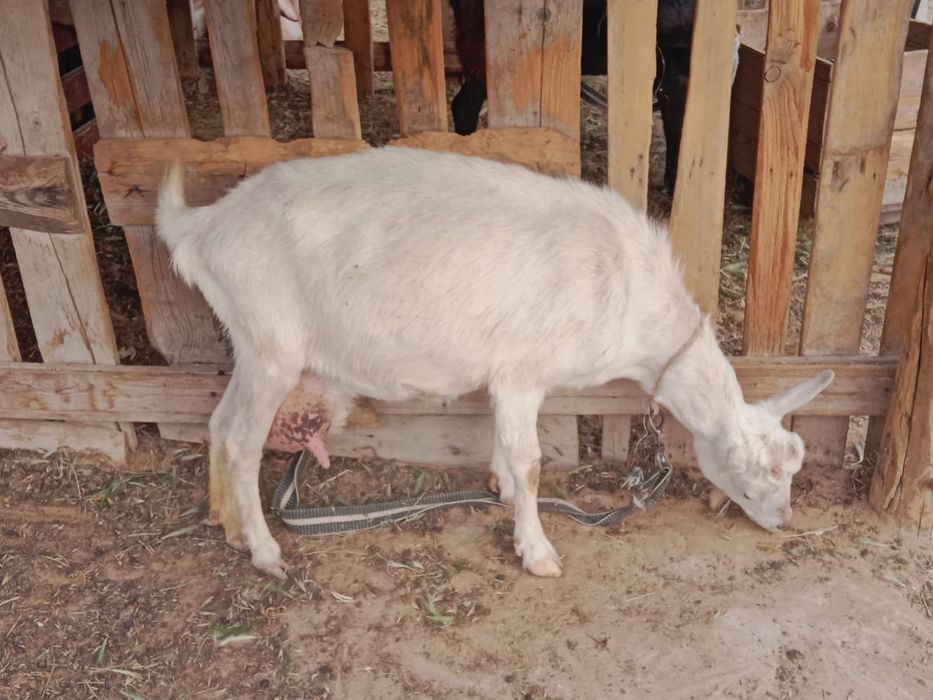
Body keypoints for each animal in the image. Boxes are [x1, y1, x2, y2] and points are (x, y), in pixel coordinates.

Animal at [156, 147, 833, 580]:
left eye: (795, 467)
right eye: (759, 476)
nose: (784, 521)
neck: (627, 290)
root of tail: (202, 226)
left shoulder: (506, 379)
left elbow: (508, 450)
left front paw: (499, 489)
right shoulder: (521, 373)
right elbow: (532, 462)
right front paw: (537, 550)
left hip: (249, 343)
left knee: (217, 424)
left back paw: (227, 523)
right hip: (271, 345)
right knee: (242, 441)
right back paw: (265, 551)